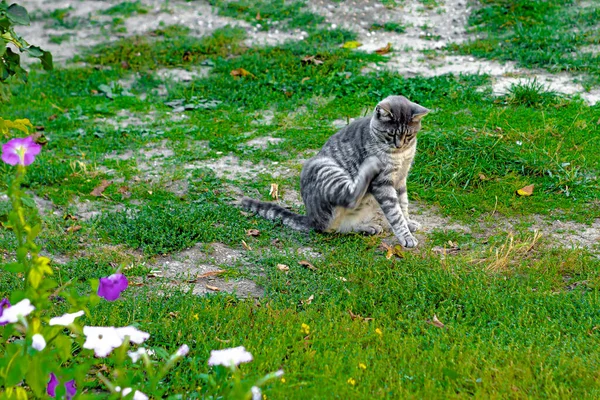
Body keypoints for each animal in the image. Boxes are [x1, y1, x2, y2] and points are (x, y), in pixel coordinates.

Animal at [241, 95, 428, 248]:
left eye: (409, 136)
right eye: (390, 134)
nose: (399, 145)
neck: (401, 155)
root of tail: (312, 219)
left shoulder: (401, 179)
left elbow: (403, 204)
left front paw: (409, 223)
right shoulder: (383, 183)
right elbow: (395, 212)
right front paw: (406, 236)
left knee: (341, 228)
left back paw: (367, 227)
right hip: (326, 168)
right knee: (350, 198)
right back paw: (369, 167)